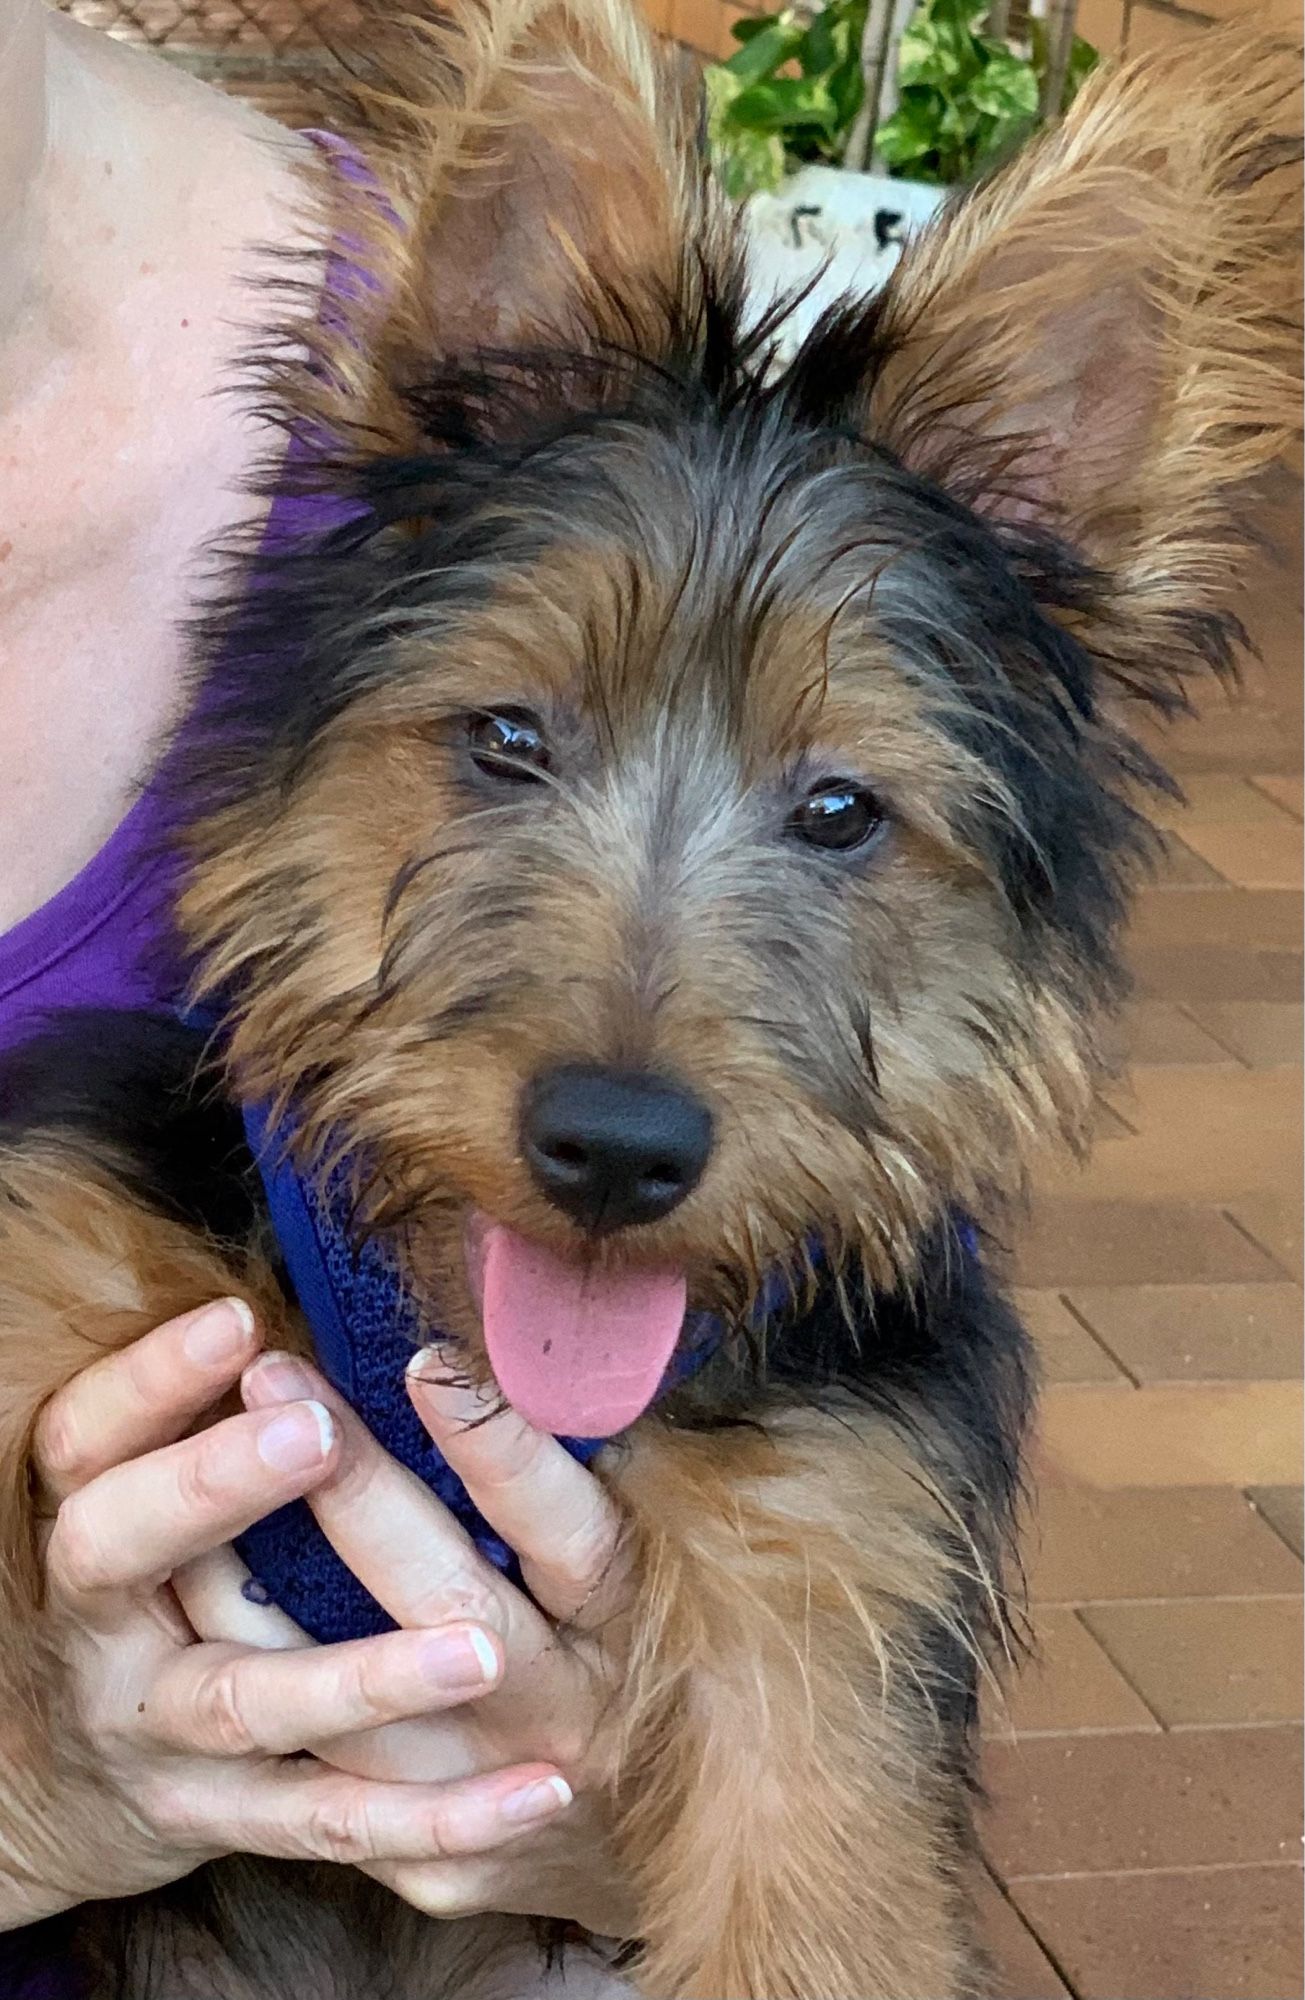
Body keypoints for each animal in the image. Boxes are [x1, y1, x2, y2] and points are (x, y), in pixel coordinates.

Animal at [0, 7, 1296, 1992]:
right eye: (507, 737)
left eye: (840, 810)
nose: (616, 1150)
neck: (443, 1346)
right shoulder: (65, 1247)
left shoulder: (828, 1580)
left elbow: (817, 1907)